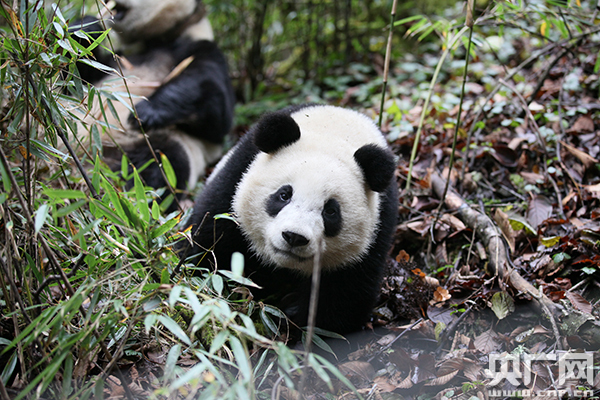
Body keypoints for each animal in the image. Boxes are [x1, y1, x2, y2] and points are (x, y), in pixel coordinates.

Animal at [70, 0, 234, 202]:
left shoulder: (197, 46)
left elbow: (216, 109)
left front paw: (144, 113)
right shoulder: (114, 61)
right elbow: (79, 75)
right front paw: (86, 27)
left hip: (139, 146)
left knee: (160, 163)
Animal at [183, 104, 398, 336]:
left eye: (330, 211)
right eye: (284, 195)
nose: (294, 237)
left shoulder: (376, 230)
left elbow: (342, 301)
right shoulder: (235, 179)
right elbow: (210, 245)